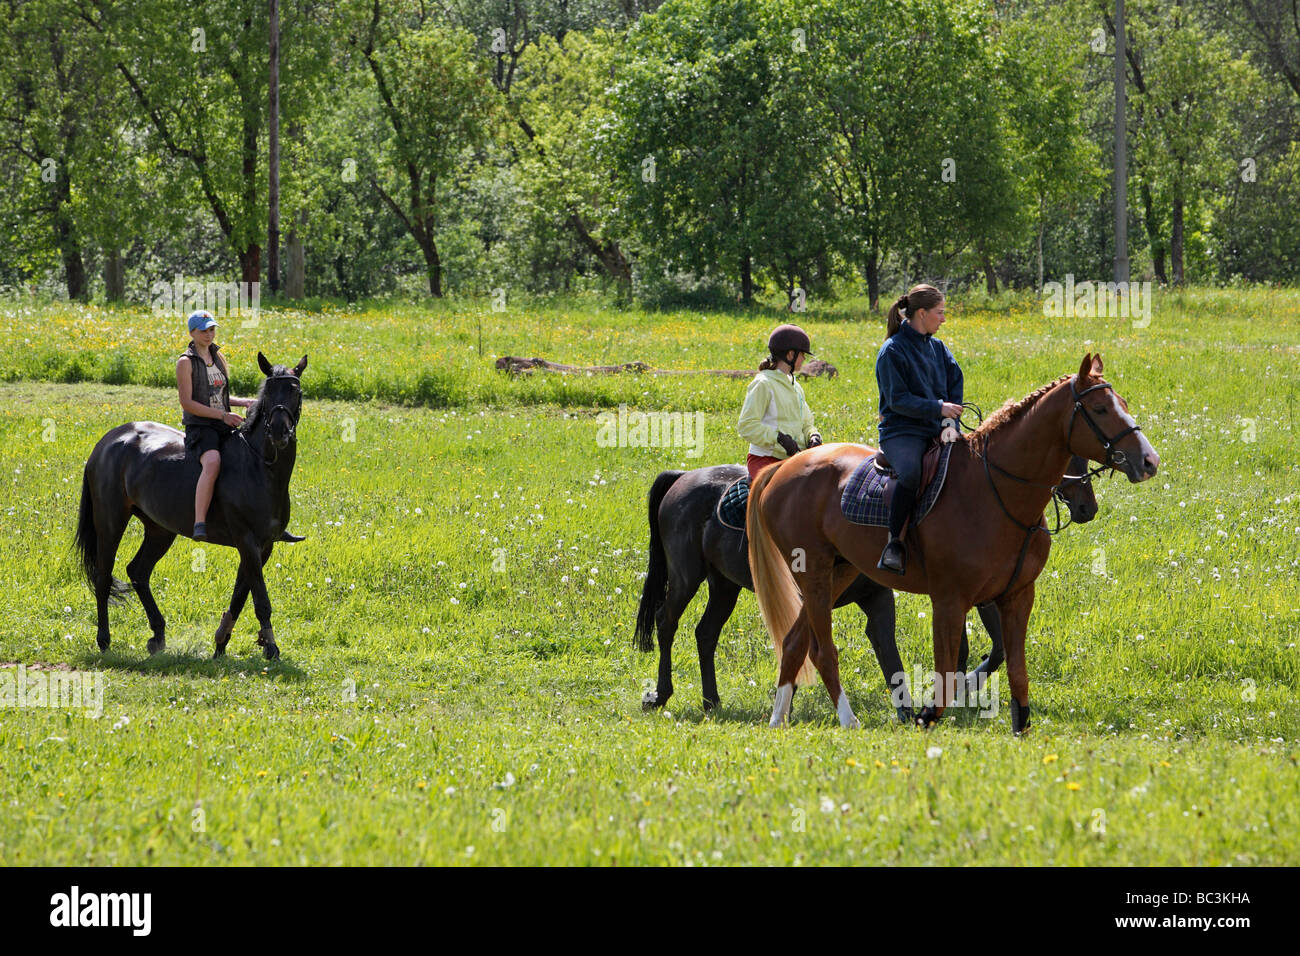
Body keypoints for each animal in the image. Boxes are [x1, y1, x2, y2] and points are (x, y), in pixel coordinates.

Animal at [75, 351, 306, 658]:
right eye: (268, 393)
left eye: (295, 392)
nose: (280, 431)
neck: (261, 466)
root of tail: (108, 441)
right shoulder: (247, 541)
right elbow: (260, 599)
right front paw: (271, 647)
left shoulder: (263, 547)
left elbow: (241, 595)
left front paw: (221, 642)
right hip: (111, 521)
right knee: (103, 577)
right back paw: (104, 640)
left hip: (160, 530)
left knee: (138, 571)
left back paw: (158, 634)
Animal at [634, 447, 1102, 717]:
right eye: (1067, 459)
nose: (1087, 506)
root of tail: (682, 478)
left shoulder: (884, 598)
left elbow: (901, 655)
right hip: (687, 577)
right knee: (666, 622)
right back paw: (662, 694)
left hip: (724, 585)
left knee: (706, 632)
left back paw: (711, 700)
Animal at [748, 356, 1164, 738]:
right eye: (1100, 409)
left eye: (1123, 403)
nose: (1149, 460)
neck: (996, 492)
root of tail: (783, 468)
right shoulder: (949, 601)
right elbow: (948, 671)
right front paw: (927, 715)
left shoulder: (1017, 596)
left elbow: (1015, 669)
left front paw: (1020, 727)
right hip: (814, 573)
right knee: (822, 651)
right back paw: (848, 720)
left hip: (840, 572)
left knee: (794, 642)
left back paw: (778, 719)